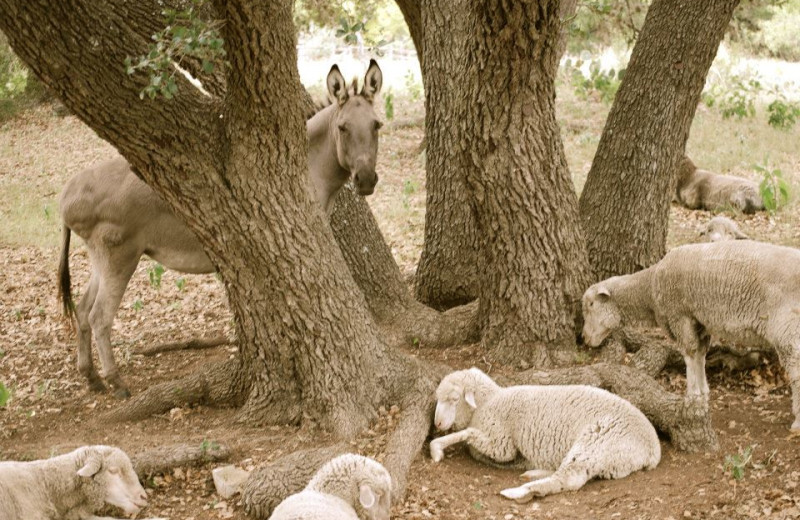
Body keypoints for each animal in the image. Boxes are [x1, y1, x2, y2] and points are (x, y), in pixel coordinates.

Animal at [432, 368, 664, 502]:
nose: (437, 423)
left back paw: (521, 492)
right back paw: (533, 474)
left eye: (454, 399)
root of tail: (652, 449)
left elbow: (468, 433)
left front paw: (436, 448)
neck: (488, 401)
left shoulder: (501, 443)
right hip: (610, 457)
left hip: (599, 440)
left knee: (569, 479)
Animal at [580, 239, 800, 430]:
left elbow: (690, 354)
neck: (650, 288)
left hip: (788, 329)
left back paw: (797, 422)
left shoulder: (680, 315)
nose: (583, 338)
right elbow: (701, 354)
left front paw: (693, 395)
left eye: (590, 305)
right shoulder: (699, 320)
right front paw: (703, 392)